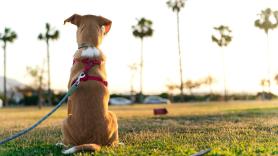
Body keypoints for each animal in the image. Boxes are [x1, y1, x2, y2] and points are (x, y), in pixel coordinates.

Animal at [62, 14, 118, 154]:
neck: (90, 46)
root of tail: (94, 141)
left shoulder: (69, 99)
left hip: (65, 121)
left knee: (68, 143)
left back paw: (61, 144)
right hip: (113, 116)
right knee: (113, 143)